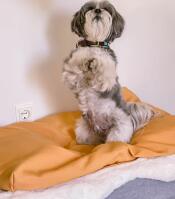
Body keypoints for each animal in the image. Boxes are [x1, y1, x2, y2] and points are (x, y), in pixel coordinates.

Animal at [62, 0, 155, 145]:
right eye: (90, 8)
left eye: (106, 9)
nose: (98, 10)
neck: (95, 44)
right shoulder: (71, 76)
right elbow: (78, 61)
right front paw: (86, 59)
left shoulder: (108, 77)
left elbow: (104, 66)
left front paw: (96, 61)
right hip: (83, 130)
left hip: (119, 130)